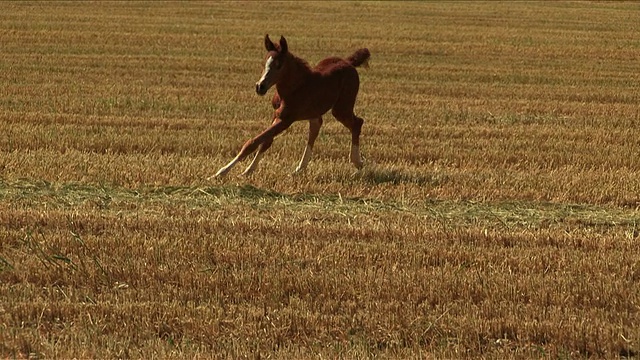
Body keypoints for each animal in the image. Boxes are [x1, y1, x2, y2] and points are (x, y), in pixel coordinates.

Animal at [214, 34, 370, 178]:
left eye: (279, 65)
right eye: (264, 63)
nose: (260, 87)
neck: (294, 88)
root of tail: (349, 62)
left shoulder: (286, 120)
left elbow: (253, 142)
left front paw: (221, 172)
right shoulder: (276, 114)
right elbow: (265, 142)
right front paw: (247, 171)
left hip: (341, 108)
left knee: (357, 123)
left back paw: (357, 162)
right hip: (316, 112)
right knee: (316, 127)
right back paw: (299, 169)